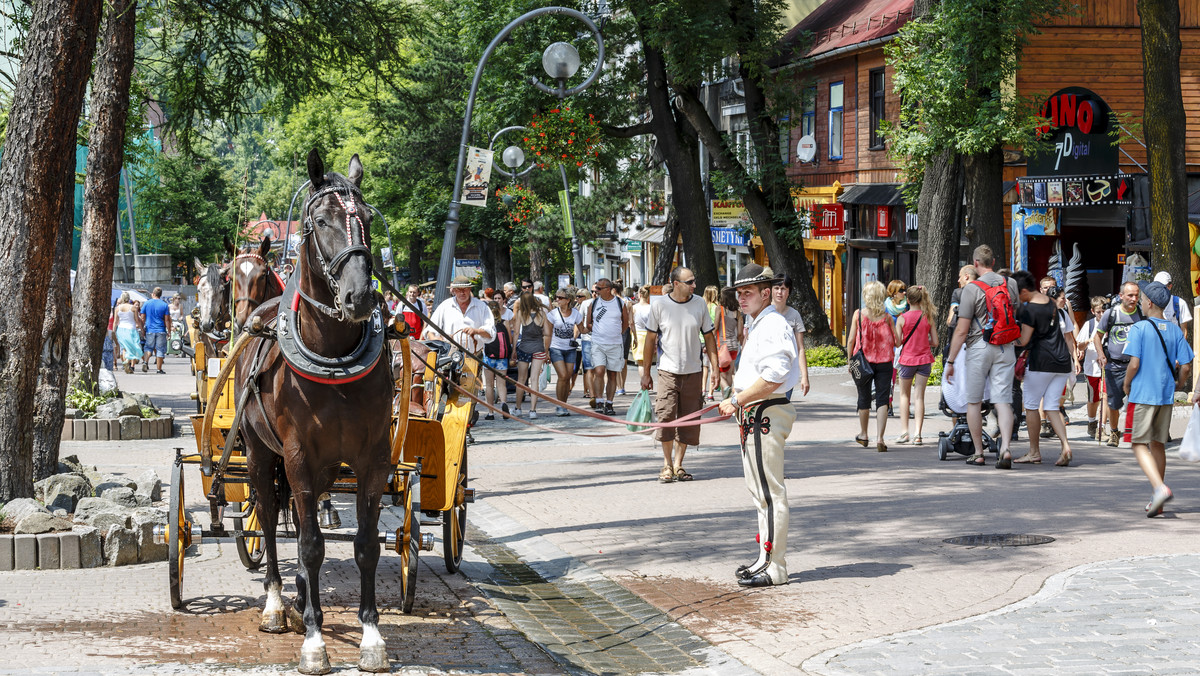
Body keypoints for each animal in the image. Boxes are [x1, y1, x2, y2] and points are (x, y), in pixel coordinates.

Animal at [230, 150, 388, 672]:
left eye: (366, 219)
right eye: (321, 222)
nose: (360, 296)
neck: (333, 354)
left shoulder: (372, 458)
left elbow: (364, 544)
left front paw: (371, 635)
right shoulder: (297, 454)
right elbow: (311, 545)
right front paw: (316, 642)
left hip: (322, 469)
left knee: (301, 518)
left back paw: (301, 597)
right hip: (262, 455)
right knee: (269, 515)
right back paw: (279, 603)